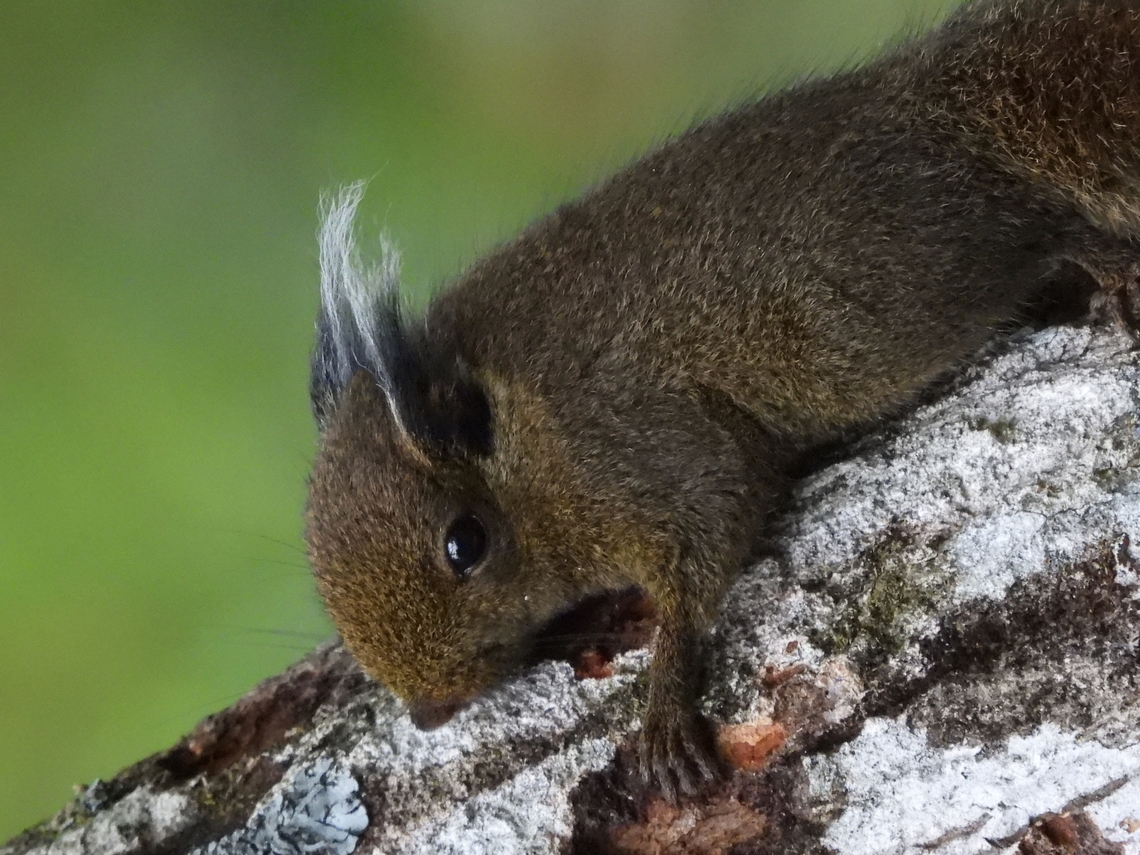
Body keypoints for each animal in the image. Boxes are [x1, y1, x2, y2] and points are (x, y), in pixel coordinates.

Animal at [304, 0, 1140, 800]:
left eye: (465, 544)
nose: (428, 712)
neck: (524, 436)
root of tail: (931, 104)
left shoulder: (639, 448)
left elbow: (709, 536)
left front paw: (665, 706)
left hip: (899, 293)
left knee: (1033, 236)